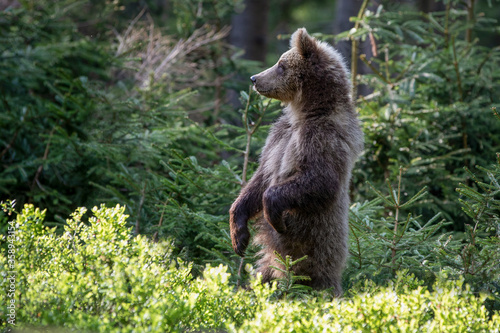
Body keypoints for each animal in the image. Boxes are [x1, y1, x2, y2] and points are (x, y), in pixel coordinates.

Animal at [229, 27, 364, 294]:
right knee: (264, 275)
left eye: (281, 65)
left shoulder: (321, 138)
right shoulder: (277, 138)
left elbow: (320, 180)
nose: (254, 78)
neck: (303, 113)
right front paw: (239, 235)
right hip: (271, 262)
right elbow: (259, 180)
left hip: (318, 250)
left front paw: (275, 217)